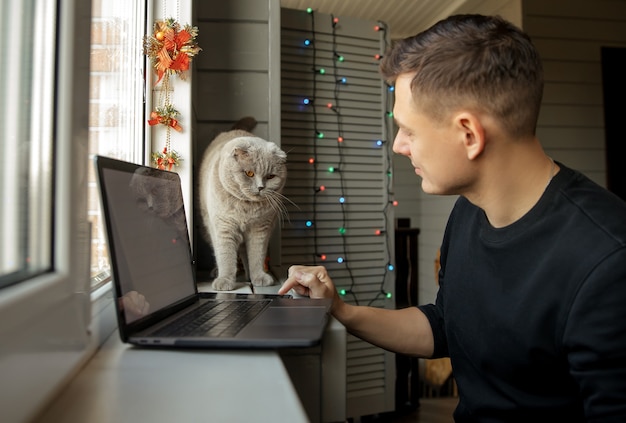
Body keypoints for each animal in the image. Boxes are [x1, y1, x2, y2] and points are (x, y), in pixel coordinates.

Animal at [197, 118, 288, 292]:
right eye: (249, 173)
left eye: (270, 176)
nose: (260, 187)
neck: (246, 208)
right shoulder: (224, 227)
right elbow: (225, 255)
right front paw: (225, 281)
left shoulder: (261, 229)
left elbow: (256, 255)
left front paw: (259, 277)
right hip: (208, 227)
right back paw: (218, 272)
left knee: (245, 253)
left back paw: (249, 276)